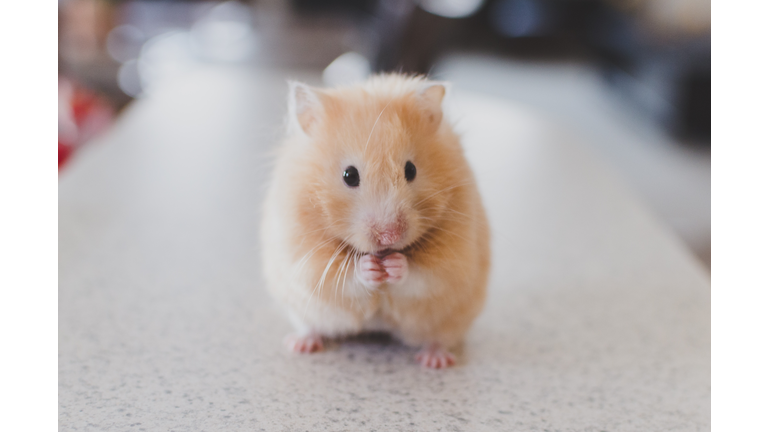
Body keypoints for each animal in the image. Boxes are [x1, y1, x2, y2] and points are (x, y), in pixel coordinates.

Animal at [261, 74, 490, 368]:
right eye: (349, 175)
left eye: (411, 170)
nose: (389, 236)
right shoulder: (304, 258)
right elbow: (343, 276)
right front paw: (370, 267)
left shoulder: (454, 259)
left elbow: (424, 275)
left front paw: (394, 265)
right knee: (310, 326)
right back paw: (300, 344)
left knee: (438, 338)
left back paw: (435, 361)